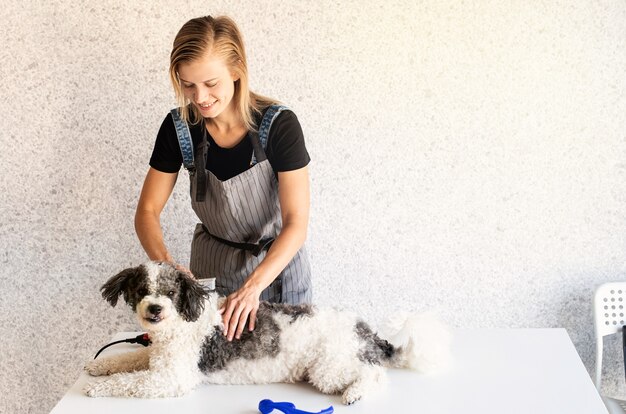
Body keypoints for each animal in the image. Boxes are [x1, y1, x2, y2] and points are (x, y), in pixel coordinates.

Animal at [84, 262, 448, 404]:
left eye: (170, 293)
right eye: (142, 290)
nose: (155, 309)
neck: (182, 323)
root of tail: (369, 334)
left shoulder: (171, 378)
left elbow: (128, 382)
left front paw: (95, 388)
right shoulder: (157, 357)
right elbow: (128, 360)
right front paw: (97, 366)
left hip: (328, 368)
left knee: (375, 375)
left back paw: (355, 393)